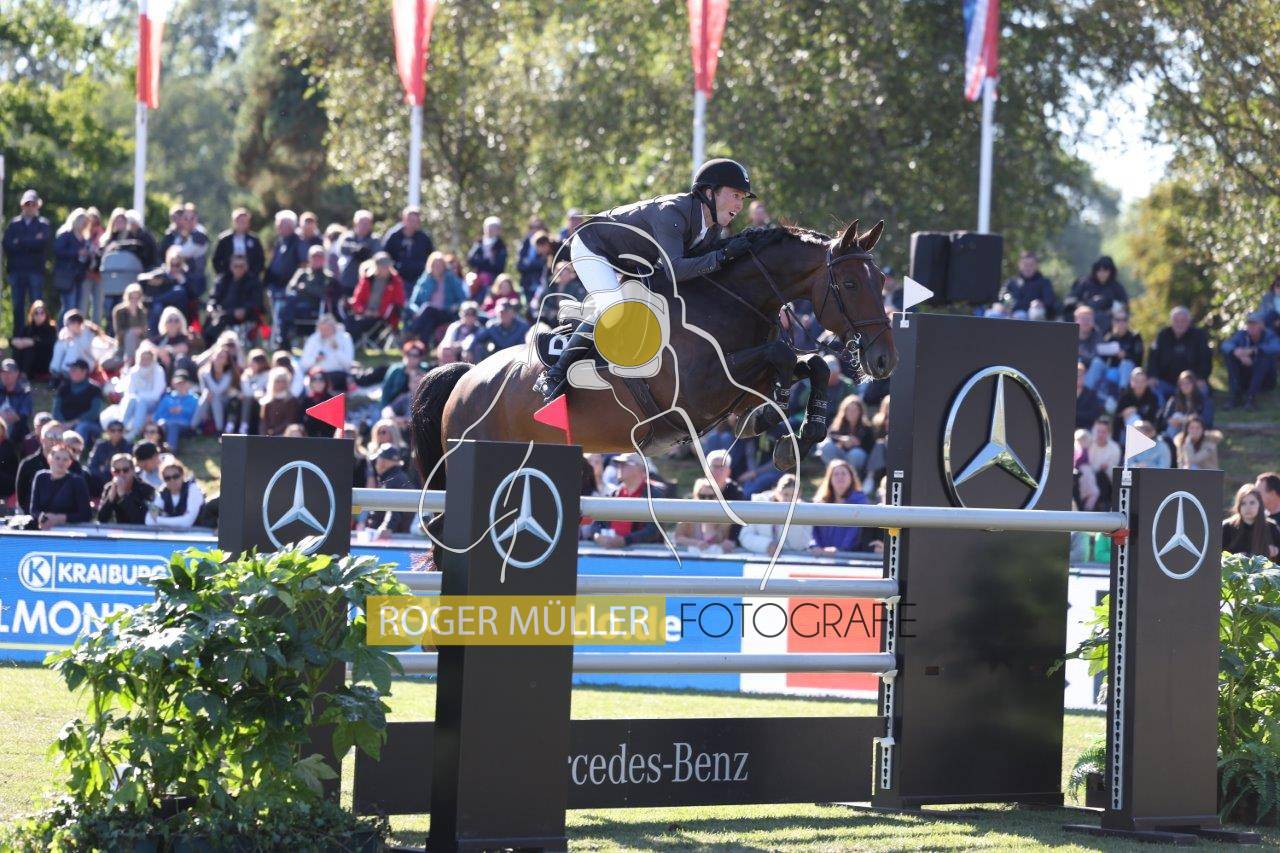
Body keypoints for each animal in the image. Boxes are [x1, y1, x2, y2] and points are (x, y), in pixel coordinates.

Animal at [411, 218, 898, 488]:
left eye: (881, 282)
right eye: (850, 284)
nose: (884, 361)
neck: (732, 300)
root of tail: (467, 376)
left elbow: (810, 365)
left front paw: (798, 427)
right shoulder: (696, 393)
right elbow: (780, 352)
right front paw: (773, 419)